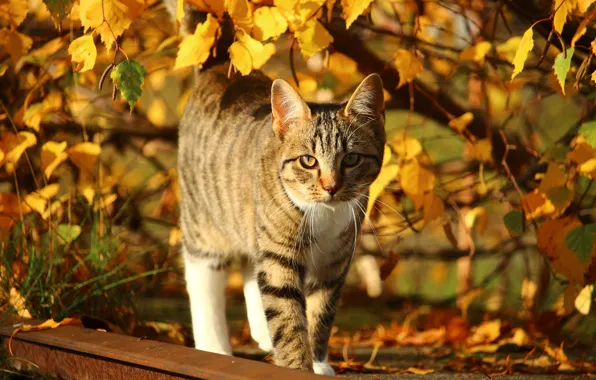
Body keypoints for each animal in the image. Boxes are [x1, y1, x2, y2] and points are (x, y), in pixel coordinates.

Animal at [177, 63, 386, 376]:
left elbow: (320, 313)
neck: (324, 215)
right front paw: (296, 367)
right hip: (204, 221)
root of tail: (219, 68)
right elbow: (287, 316)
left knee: (253, 267)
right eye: (308, 161)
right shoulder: (279, 251)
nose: (331, 187)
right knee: (203, 276)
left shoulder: (334, 262)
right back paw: (214, 346)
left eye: (351, 159)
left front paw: (318, 362)